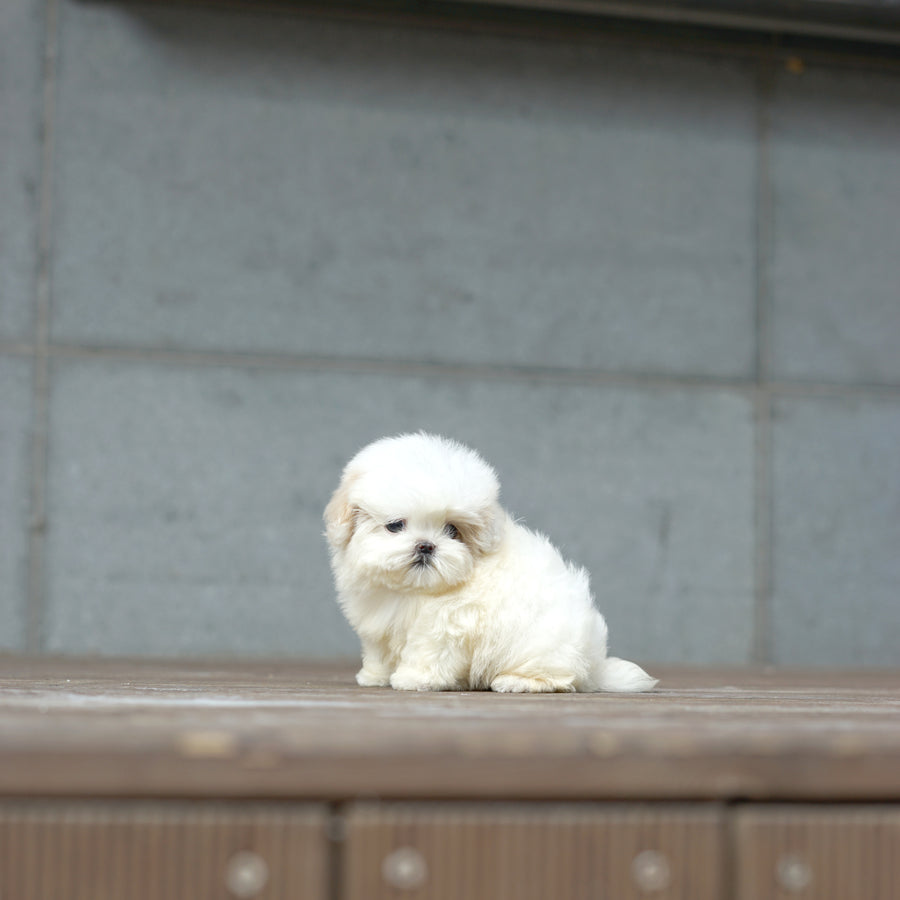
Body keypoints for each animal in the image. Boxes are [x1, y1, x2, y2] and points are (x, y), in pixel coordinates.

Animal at [324, 432, 652, 692]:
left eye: (452, 530)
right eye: (395, 525)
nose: (426, 546)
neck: (415, 590)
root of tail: (595, 665)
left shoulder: (447, 624)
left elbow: (428, 652)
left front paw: (414, 679)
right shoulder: (379, 621)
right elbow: (379, 649)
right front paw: (375, 676)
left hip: (543, 644)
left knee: (560, 677)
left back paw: (516, 681)